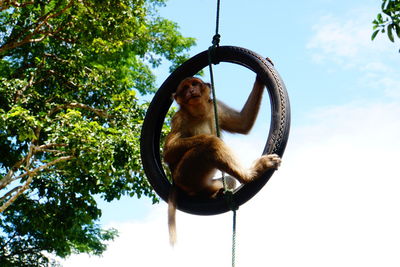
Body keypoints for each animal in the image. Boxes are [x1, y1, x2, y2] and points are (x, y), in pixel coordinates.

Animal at [163, 76, 282, 246]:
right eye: (185, 88)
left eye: (195, 84)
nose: (191, 90)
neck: (199, 113)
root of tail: (176, 184)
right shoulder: (179, 118)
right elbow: (168, 152)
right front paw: (211, 137)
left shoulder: (216, 107)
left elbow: (242, 123)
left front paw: (261, 77)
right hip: (184, 176)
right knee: (210, 146)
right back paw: (252, 174)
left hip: (206, 183)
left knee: (229, 180)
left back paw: (215, 193)